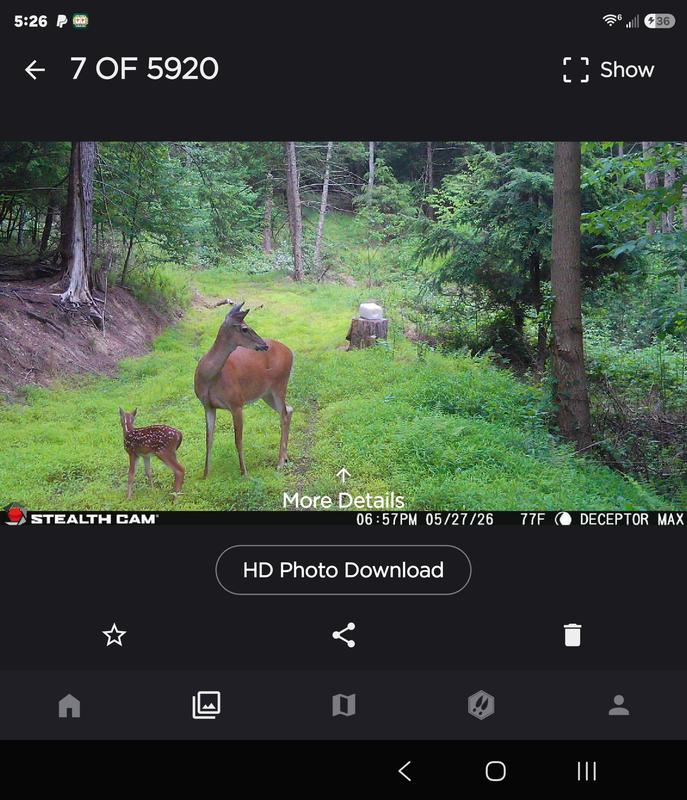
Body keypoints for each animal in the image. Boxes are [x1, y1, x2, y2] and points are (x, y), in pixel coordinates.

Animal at [194, 301, 293, 478]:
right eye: (244, 328)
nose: (264, 345)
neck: (210, 378)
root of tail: (291, 352)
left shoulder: (237, 403)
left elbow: (238, 439)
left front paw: (244, 472)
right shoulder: (207, 405)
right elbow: (208, 439)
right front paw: (205, 475)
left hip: (280, 383)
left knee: (283, 415)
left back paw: (280, 462)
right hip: (266, 393)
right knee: (289, 409)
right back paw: (286, 457)